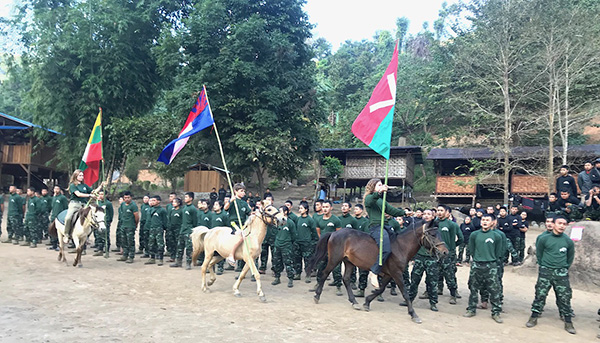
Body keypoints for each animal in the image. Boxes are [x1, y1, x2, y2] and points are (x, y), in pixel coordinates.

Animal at [308, 220, 448, 326]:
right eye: (433, 235)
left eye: (440, 233)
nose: (445, 252)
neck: (401, 246)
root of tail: (334, 233)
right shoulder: (396, 273)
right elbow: (405, 293)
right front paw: (413, 314)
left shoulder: (389, 274)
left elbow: (381, 289)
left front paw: (367, 301)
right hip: (334, 259)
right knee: (324, 274)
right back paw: (317, 296)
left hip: (349, 262)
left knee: (346, 279)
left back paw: (354, 302)